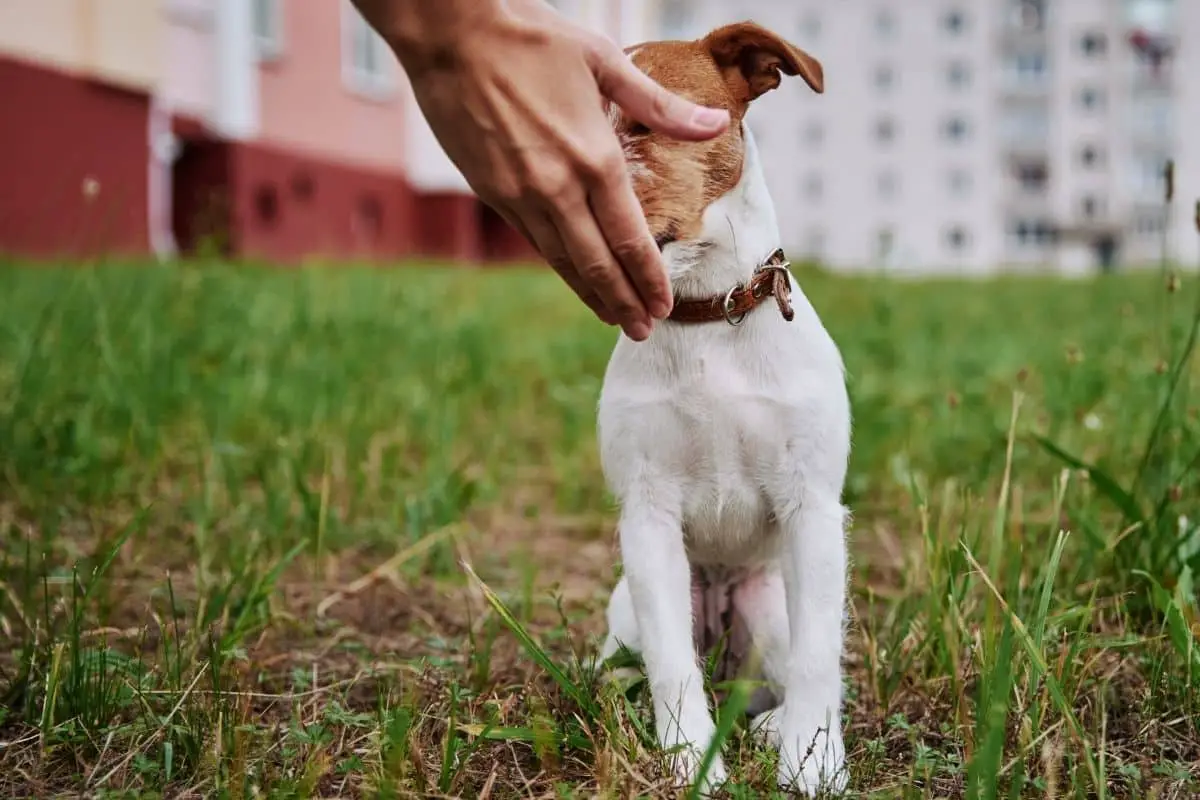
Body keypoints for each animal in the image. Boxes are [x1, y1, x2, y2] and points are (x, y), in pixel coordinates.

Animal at [595, 21, 849, 796]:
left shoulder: (813, 509)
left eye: (645, 123)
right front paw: (688, 760)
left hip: (769, 607)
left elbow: (820, 659)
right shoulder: (647, 518)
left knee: (781, 676)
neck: (707, 313)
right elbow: (672, 666)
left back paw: (771, 728)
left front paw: (813, 760)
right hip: (628, 611)